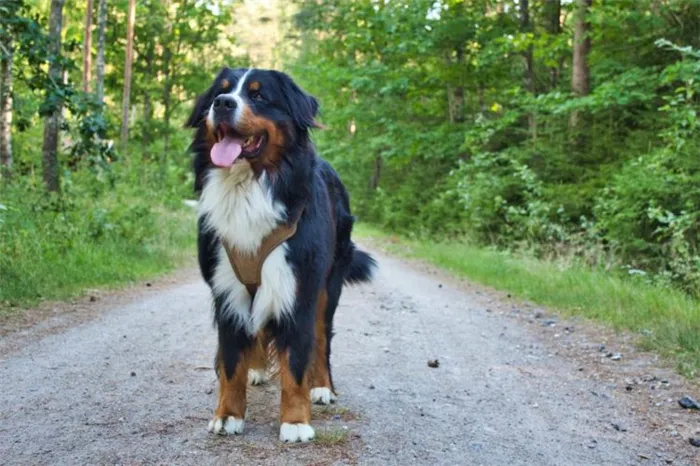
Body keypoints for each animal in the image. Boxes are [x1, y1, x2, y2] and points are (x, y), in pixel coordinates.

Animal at [183, 67, 374, 442]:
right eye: (220, 91)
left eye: (258, 95)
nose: (222, 104)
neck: (249, 186)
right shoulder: (226, 290)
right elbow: (231, 362)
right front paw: (228, 415)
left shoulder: (298, 288)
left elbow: (297, 362)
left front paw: (296, 421)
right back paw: (256, 369)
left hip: (328, 287)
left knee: (321, 341)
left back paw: (322, 387)